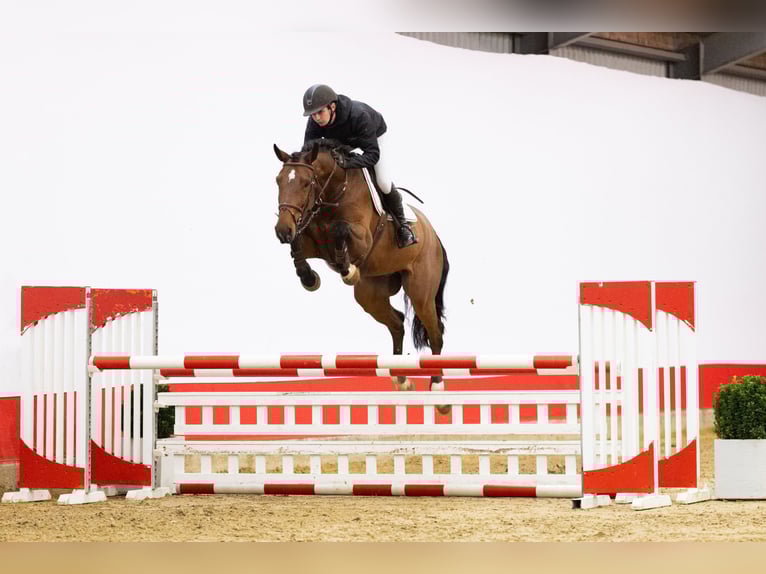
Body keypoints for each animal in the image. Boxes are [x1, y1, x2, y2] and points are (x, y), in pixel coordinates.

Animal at [273, 138, 450, 412]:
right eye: (278, 181)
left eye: (305, 183)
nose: (281, 229)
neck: (333, 193)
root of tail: (433, 235)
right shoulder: (310, 239)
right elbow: (297, 245)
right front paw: (309, 278)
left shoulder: (362, 239)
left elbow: (340, 229)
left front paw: (347, 270)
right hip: (370, 295)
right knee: (397, 323)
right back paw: (402, 380)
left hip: (420, 293)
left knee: (435, 335)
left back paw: (438, 391)